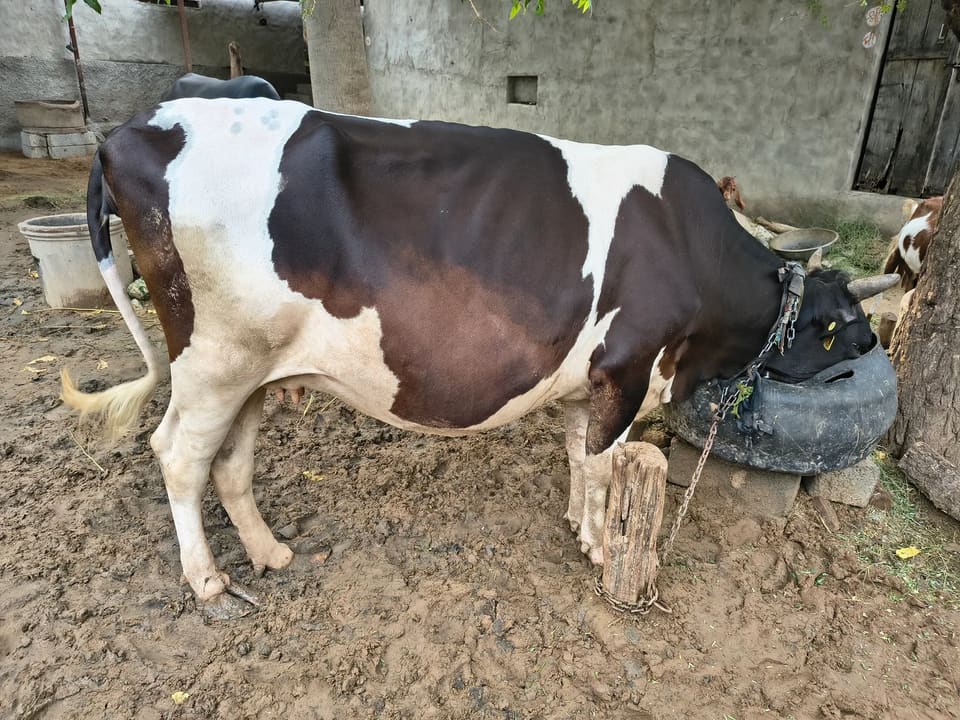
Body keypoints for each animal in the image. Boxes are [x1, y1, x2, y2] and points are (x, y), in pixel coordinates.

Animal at [61, 98, 898, 616]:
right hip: (214, 358)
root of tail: (135, 126)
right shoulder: (627, 368)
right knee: (178, 455)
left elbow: (577, 455)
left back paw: (270, 553)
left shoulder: (588, 380)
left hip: (253, 370)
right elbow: (604, 466)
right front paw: (603, 546)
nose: (873, 344)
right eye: (847, 320)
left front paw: (576, 522)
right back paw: (207, 580)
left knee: (228, 461)